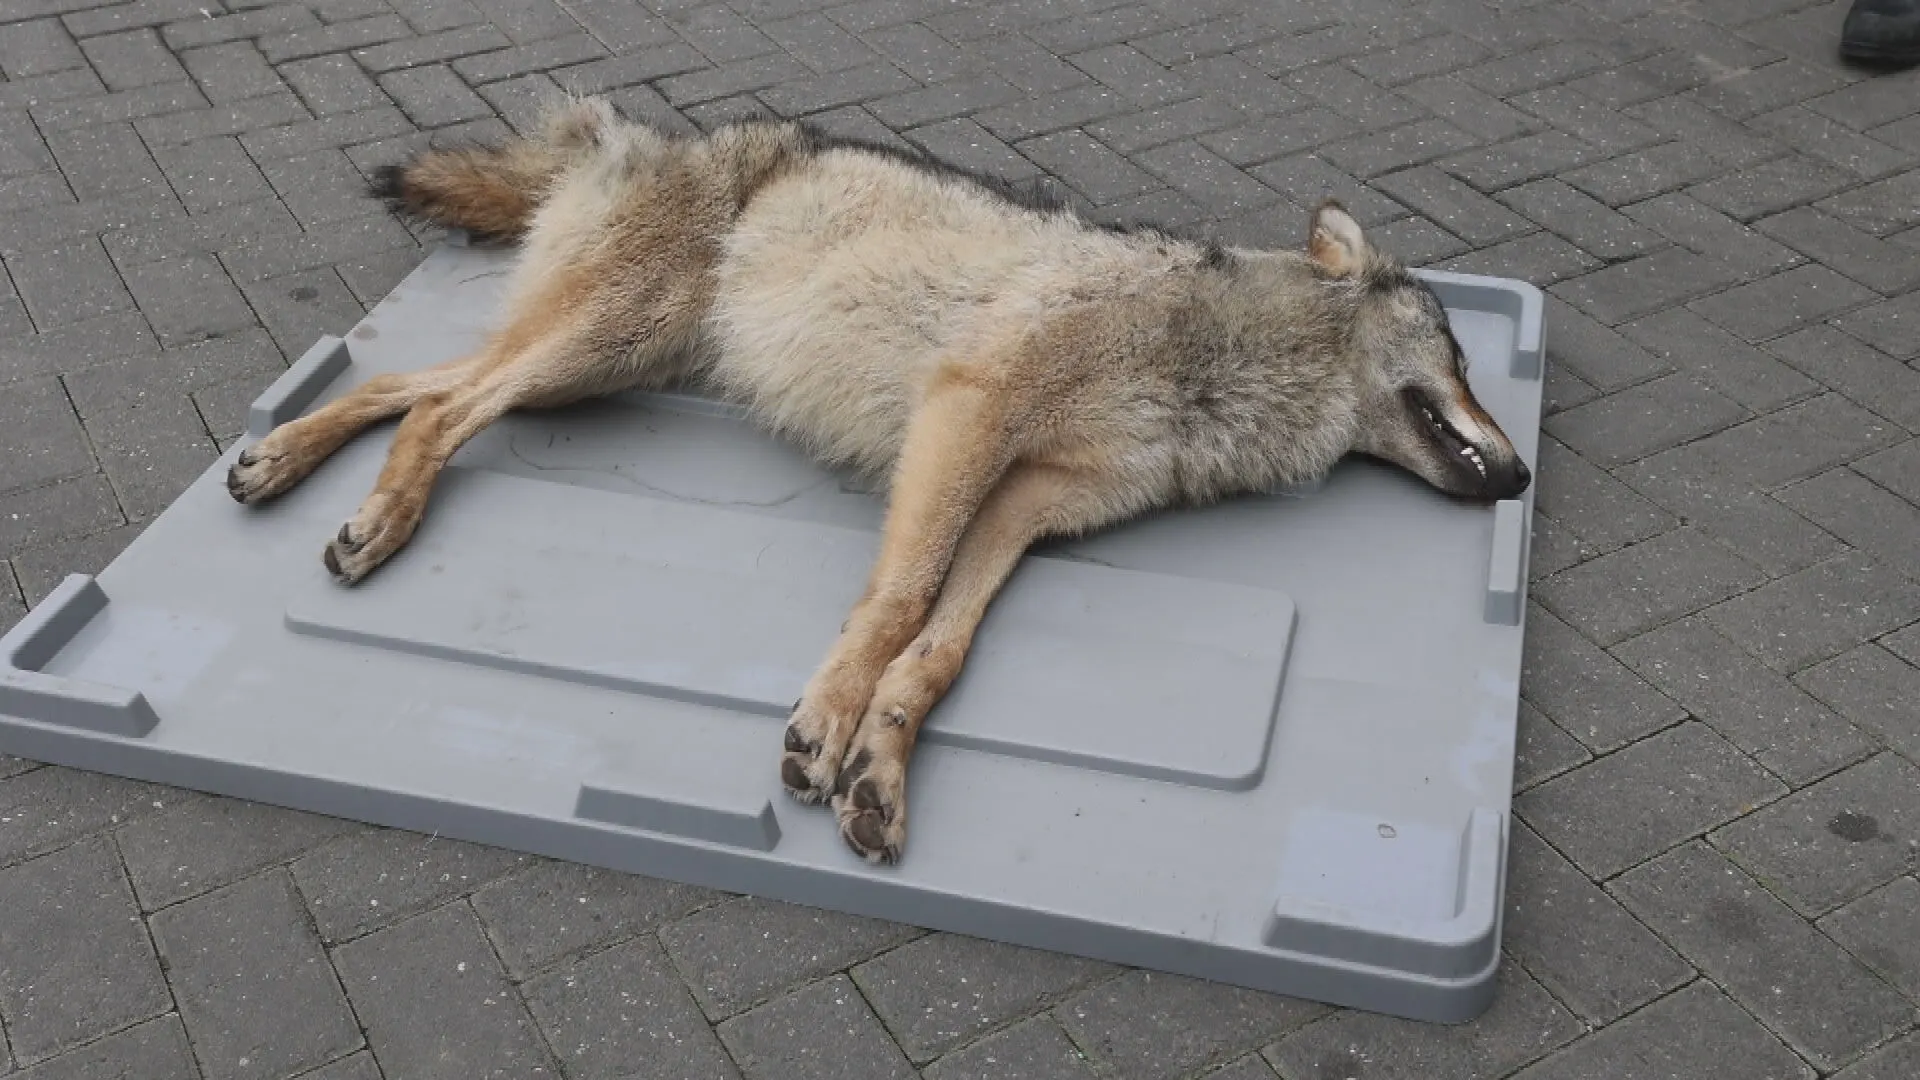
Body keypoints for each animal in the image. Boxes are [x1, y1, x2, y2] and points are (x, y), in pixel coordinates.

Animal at [226, 96, 1531, 865]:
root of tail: (638, 135)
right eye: (1466, 363)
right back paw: (376, 522)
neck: (1218, 362)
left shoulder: (1029, 504)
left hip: (596, 366)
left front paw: (880, 771)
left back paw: (280, 462)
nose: (1519, 474)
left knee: (407, 382)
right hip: (598, 347)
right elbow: (900, 603)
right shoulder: (964, 417)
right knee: (442, 407)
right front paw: (825, 727)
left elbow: (942, 653)